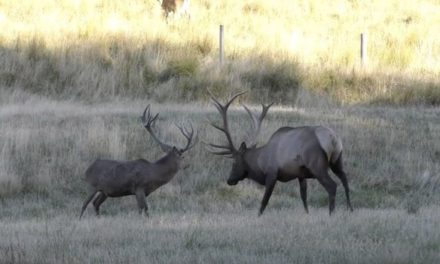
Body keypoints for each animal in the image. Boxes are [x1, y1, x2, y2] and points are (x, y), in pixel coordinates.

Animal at [207, 92, 354, 216]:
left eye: (234, 162)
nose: (229, 180)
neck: (260, 162)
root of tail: (332, 138)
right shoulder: (301, 175)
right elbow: (303, 197)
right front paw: (307, 214)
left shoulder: (272, 173)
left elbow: (264, 201)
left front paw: (258, 216)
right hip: (337, 160)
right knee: (345, 181)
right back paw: (350, 209)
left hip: (317, 165)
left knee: (332, 186)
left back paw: (331, 213)